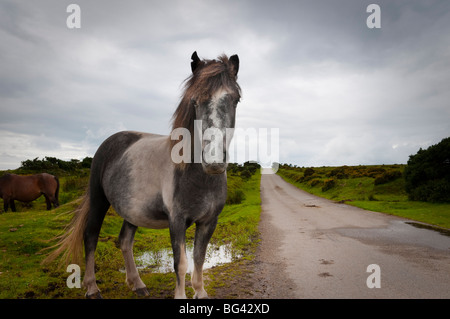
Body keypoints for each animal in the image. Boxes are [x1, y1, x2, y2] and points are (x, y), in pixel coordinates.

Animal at [47, 51, 241, 298]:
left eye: (236, 99)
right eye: (194, 101)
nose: (213, 159)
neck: (198, 178)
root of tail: (110, 142)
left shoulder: (209, 222)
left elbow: (199, 259)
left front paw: (201, 292)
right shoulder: (176, 221)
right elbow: (181, 263)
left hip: (132, 211)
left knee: (124, 241)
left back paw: (137, 284)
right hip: (99, 200)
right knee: (90, 237)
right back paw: (92, 288)